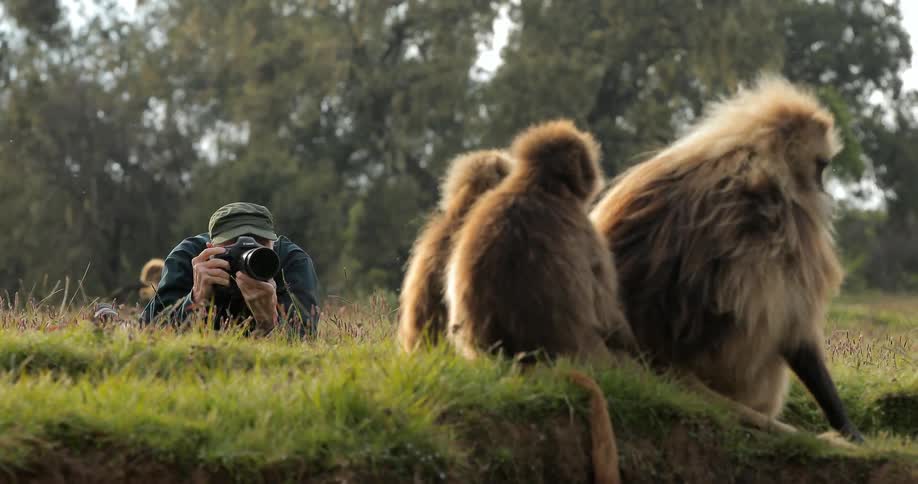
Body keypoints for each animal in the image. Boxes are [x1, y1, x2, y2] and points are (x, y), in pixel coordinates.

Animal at [445, 119, 636, 484]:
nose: (594, 173)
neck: (535, 184)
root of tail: (522, 360)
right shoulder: (585, 228)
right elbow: (607, 316)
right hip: (600, 360)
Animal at [589, 74, 864, 443]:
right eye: (821, 167)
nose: (824, 191)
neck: (753, 152)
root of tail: (658, 356)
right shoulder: (785, 218)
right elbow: (795, 331)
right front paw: (844, 422)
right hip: (741, 374)